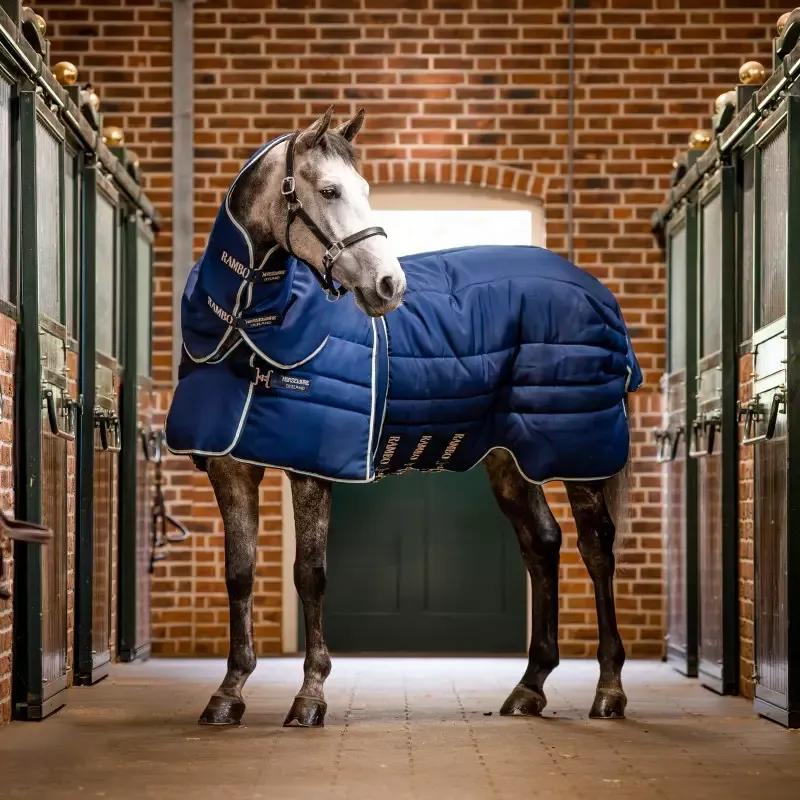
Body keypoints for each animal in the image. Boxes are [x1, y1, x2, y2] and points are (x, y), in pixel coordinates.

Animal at [165, 106, 641, 728]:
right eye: (329, 190)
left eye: (366, 190)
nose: (389, 285)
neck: (248, 331)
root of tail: (599, 295)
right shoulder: (232, 467)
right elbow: (239, 574)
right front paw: (228, 693)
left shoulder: (310, 469)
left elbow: (310, 574)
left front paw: (309, 697)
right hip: (511, 457)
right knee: (542, 543)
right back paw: (529, 689)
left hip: (577, 449)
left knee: (597, 547)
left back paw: (609, 689)